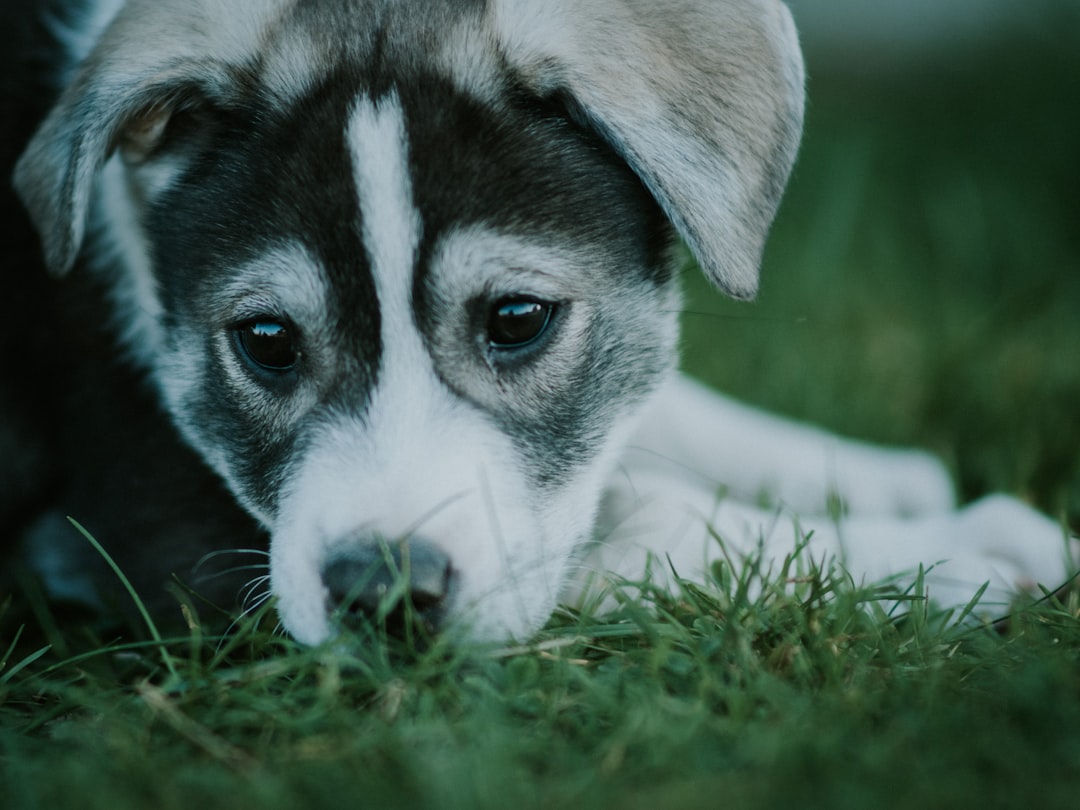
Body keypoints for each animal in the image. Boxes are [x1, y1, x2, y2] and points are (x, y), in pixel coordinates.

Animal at [0, 0, 1071, 648]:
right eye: (265, 342)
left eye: (517, 319)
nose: (385, 596)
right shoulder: (154, 539)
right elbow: (641, 528)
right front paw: (958, 557)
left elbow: (653, 410)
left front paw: (864, 476)